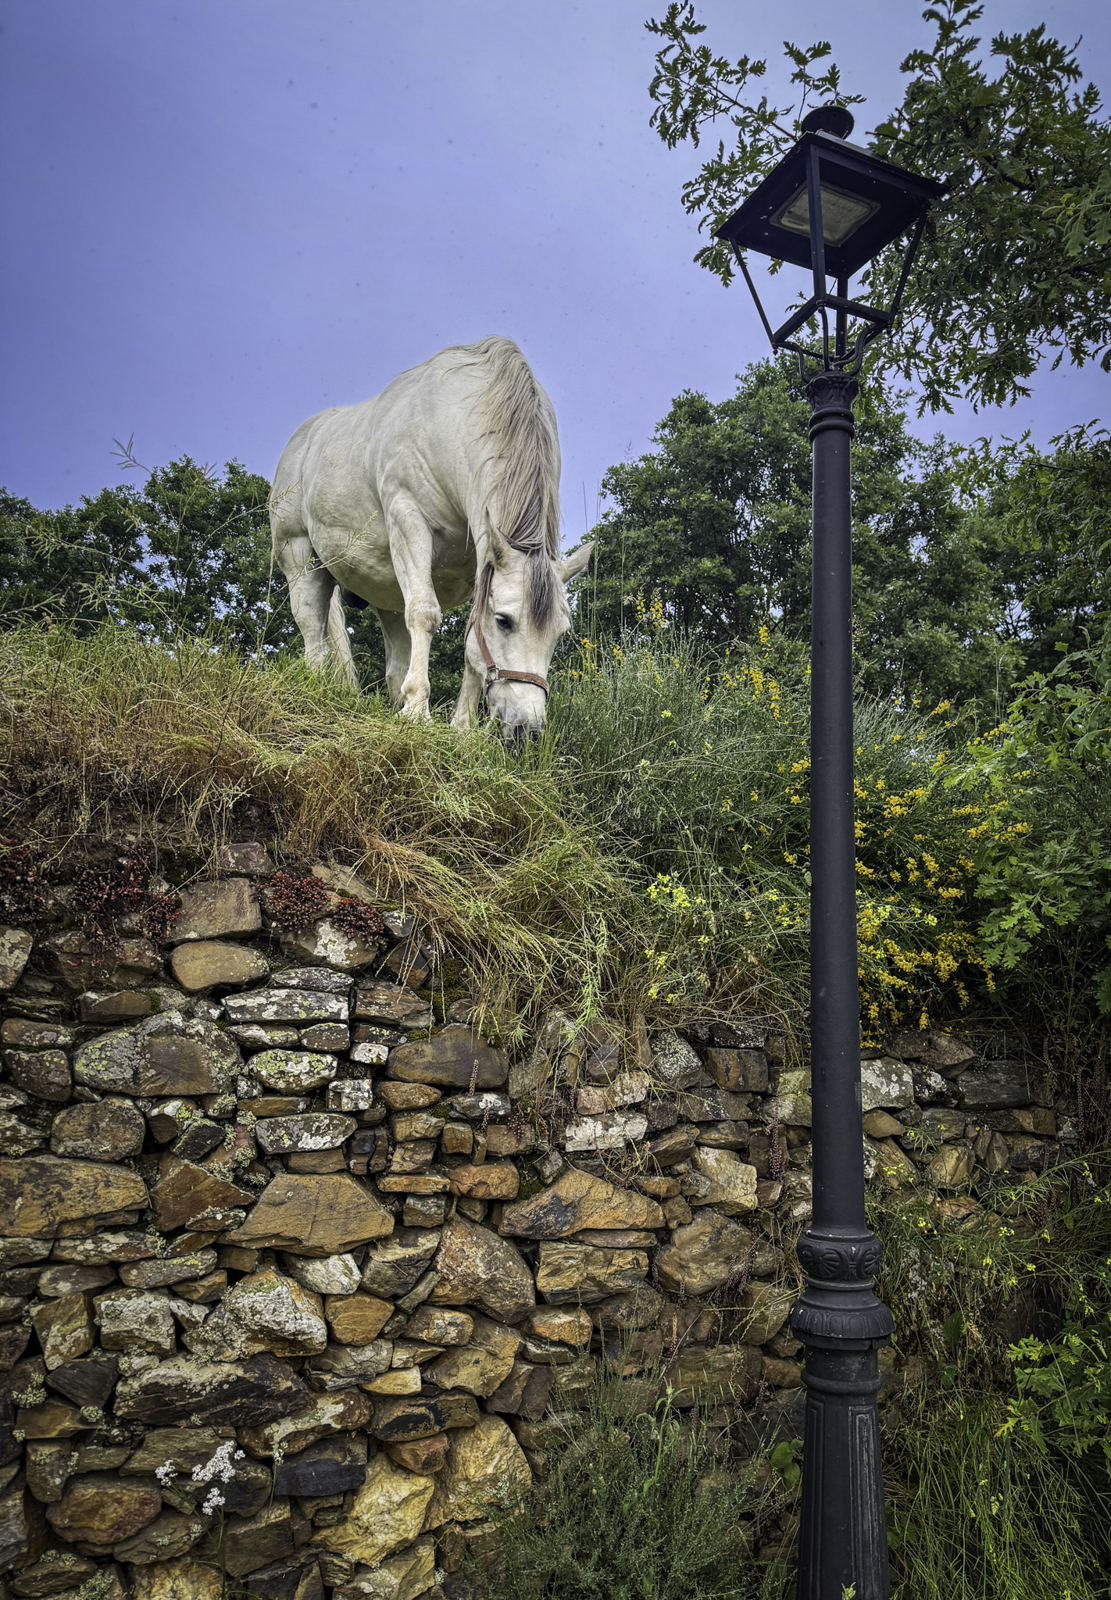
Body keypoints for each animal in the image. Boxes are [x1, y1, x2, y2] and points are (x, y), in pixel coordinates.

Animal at [270, 336, 593, 734]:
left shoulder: (480, 557)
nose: (526, 729)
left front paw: (462, 726)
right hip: (301, 558)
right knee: (313, 633)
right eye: (504, 620)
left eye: (560, 633)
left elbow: (470, 639)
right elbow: (425, 614)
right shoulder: (409, 521)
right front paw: (416, 712)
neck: (452, 421)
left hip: (386, 587)